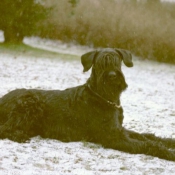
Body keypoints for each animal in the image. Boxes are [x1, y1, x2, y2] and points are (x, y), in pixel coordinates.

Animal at [0, 47, 175, 161]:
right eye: (100, 63)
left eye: (117, 61)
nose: (112, 76)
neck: (105, 97)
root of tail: (3, 99)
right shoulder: (113, 136)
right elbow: (146, 144)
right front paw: (169, 153)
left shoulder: (119, 129)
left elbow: (146, 136)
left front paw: (169, 142)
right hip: (28, 103)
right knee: (5, 128)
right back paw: (20, 135)